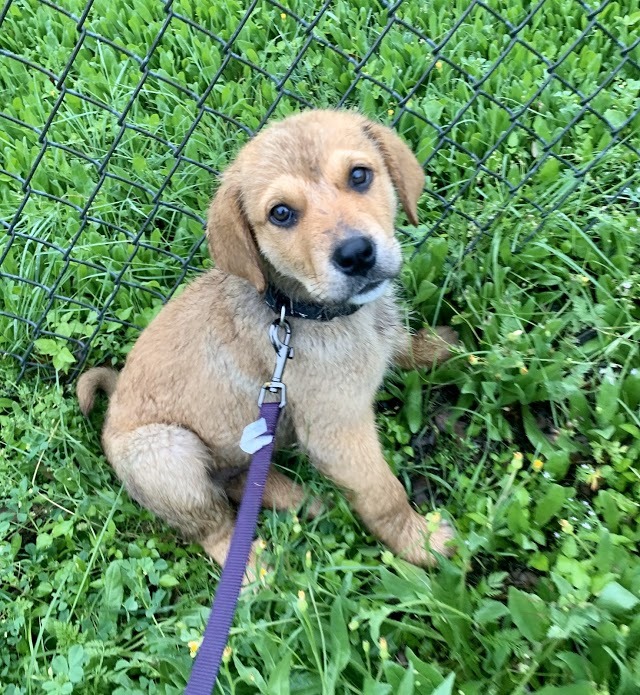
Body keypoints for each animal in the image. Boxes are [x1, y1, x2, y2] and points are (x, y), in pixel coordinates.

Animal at [77, 109, 458, 576]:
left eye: (360, 176)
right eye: (281, 213)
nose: (356, 254)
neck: (299, 312)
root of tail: (111, 408)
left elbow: (402, 347)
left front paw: (441, 347)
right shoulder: (338, 430)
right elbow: (383, 494)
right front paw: (420, 541)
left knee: (243, 481)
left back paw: (303, 500)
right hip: (169, 457)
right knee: (215, 528)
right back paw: (254, 570)